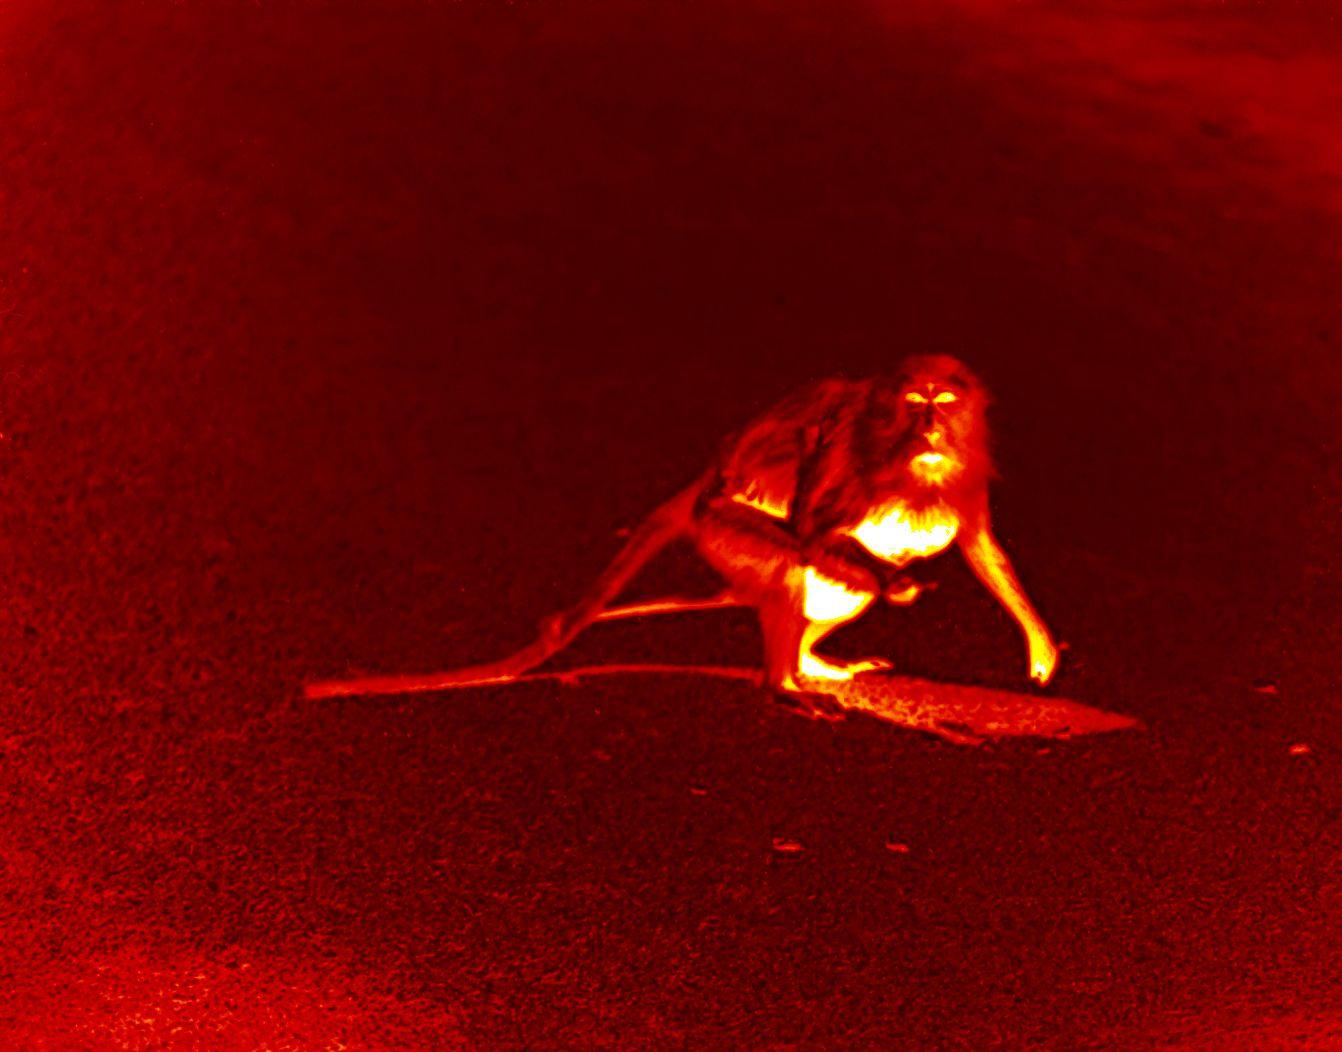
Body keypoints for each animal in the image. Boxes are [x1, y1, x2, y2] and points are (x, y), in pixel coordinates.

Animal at [360, 354, 1061, 697]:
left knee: (831, 582)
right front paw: (893, 580)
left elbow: (979, 545)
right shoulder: (850, 461)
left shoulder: (964, 474)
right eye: (917, 403)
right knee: (796, 564)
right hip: (720, 527)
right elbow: (811, 529)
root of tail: (701, 485)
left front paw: (1038, 642)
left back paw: (807, 661)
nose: (930, 426)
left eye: (944, 403)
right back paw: (786, 681)